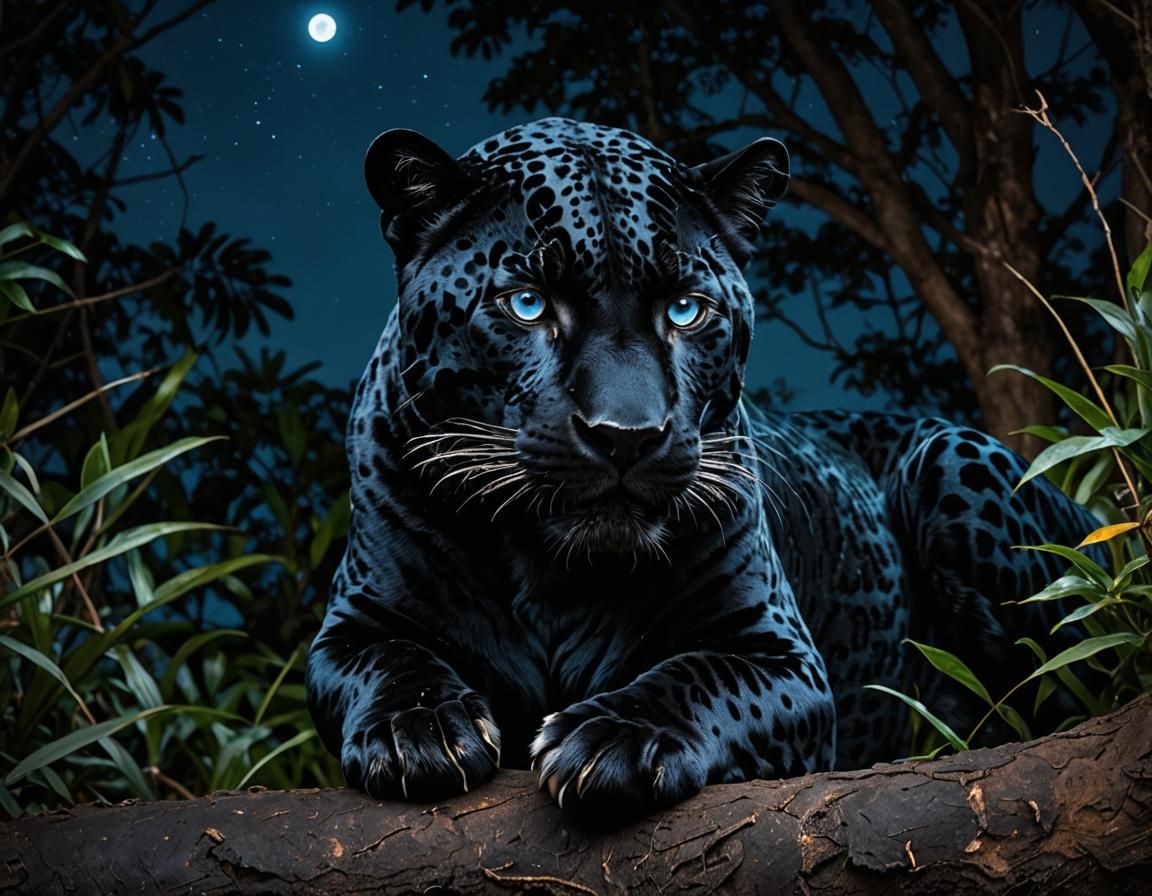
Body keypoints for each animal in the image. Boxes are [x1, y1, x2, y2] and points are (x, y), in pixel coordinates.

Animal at [305, 117, 1098, 821]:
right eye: (526, 304)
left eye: (687, 310)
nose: (626, 436)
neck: (552, 568)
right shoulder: (351, 626)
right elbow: (390, 659)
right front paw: (420, 731)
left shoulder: (778, 654)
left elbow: (698, 675)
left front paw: (612, 740)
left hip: (952, 463)